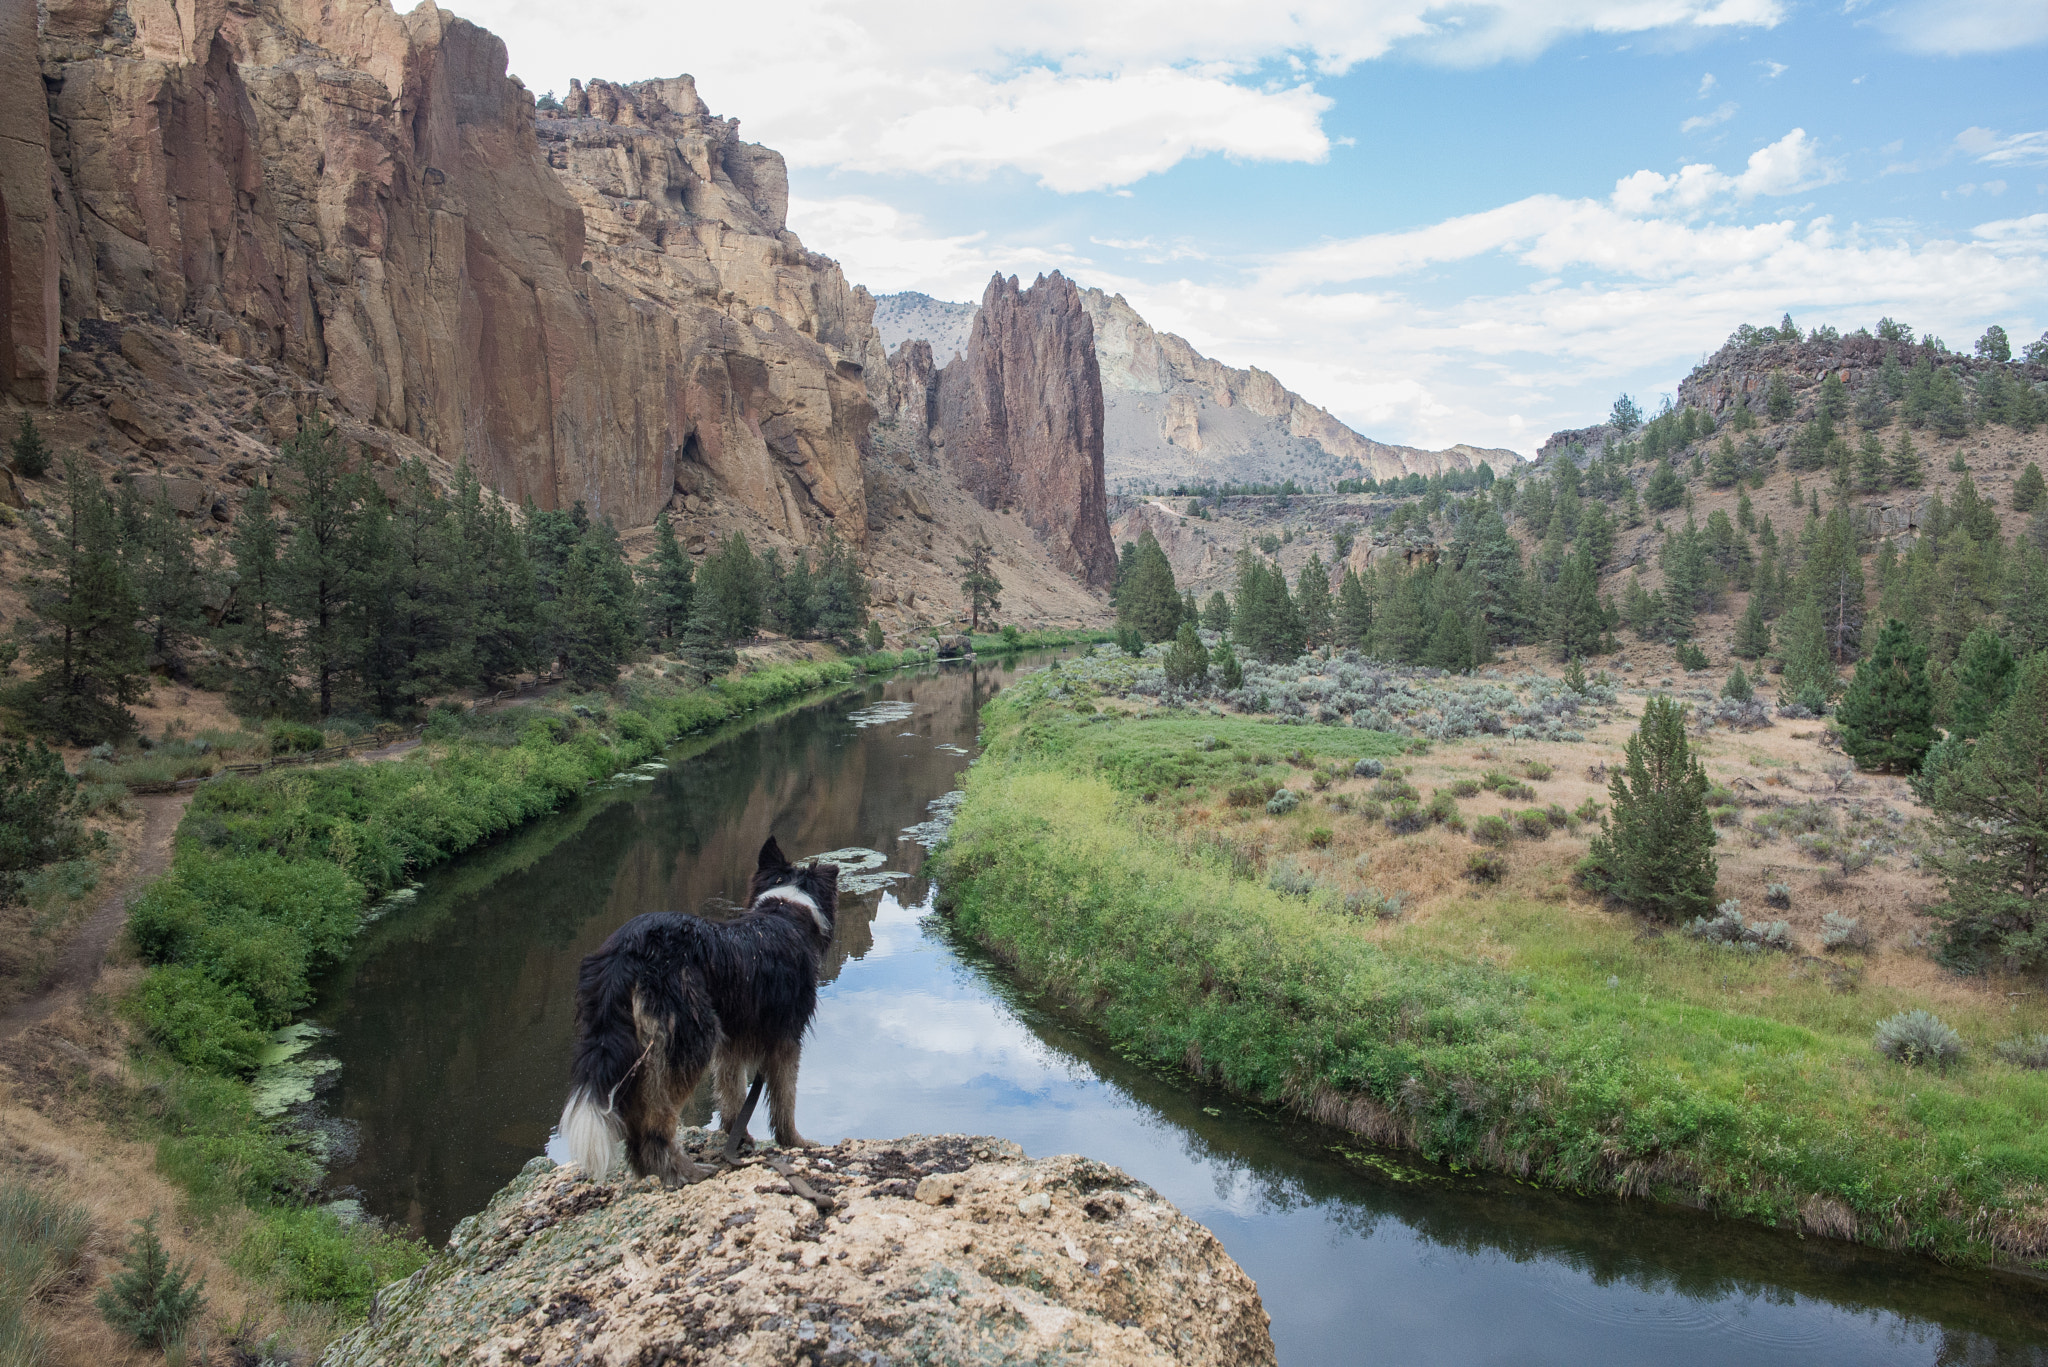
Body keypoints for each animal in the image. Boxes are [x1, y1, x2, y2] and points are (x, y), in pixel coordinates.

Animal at [557, 840, 835, 1180]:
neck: (785, 909)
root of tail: (624, 954)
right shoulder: (786, 1039)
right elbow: (785, 1098)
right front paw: (795, 1142)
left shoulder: (732, 1044)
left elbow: (731, 1094)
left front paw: (738, 1137)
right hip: (688, 1041)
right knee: (656, 1123)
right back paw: (684, 1171)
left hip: (634, 1049)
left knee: (636, 1126)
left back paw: (651, 1171)